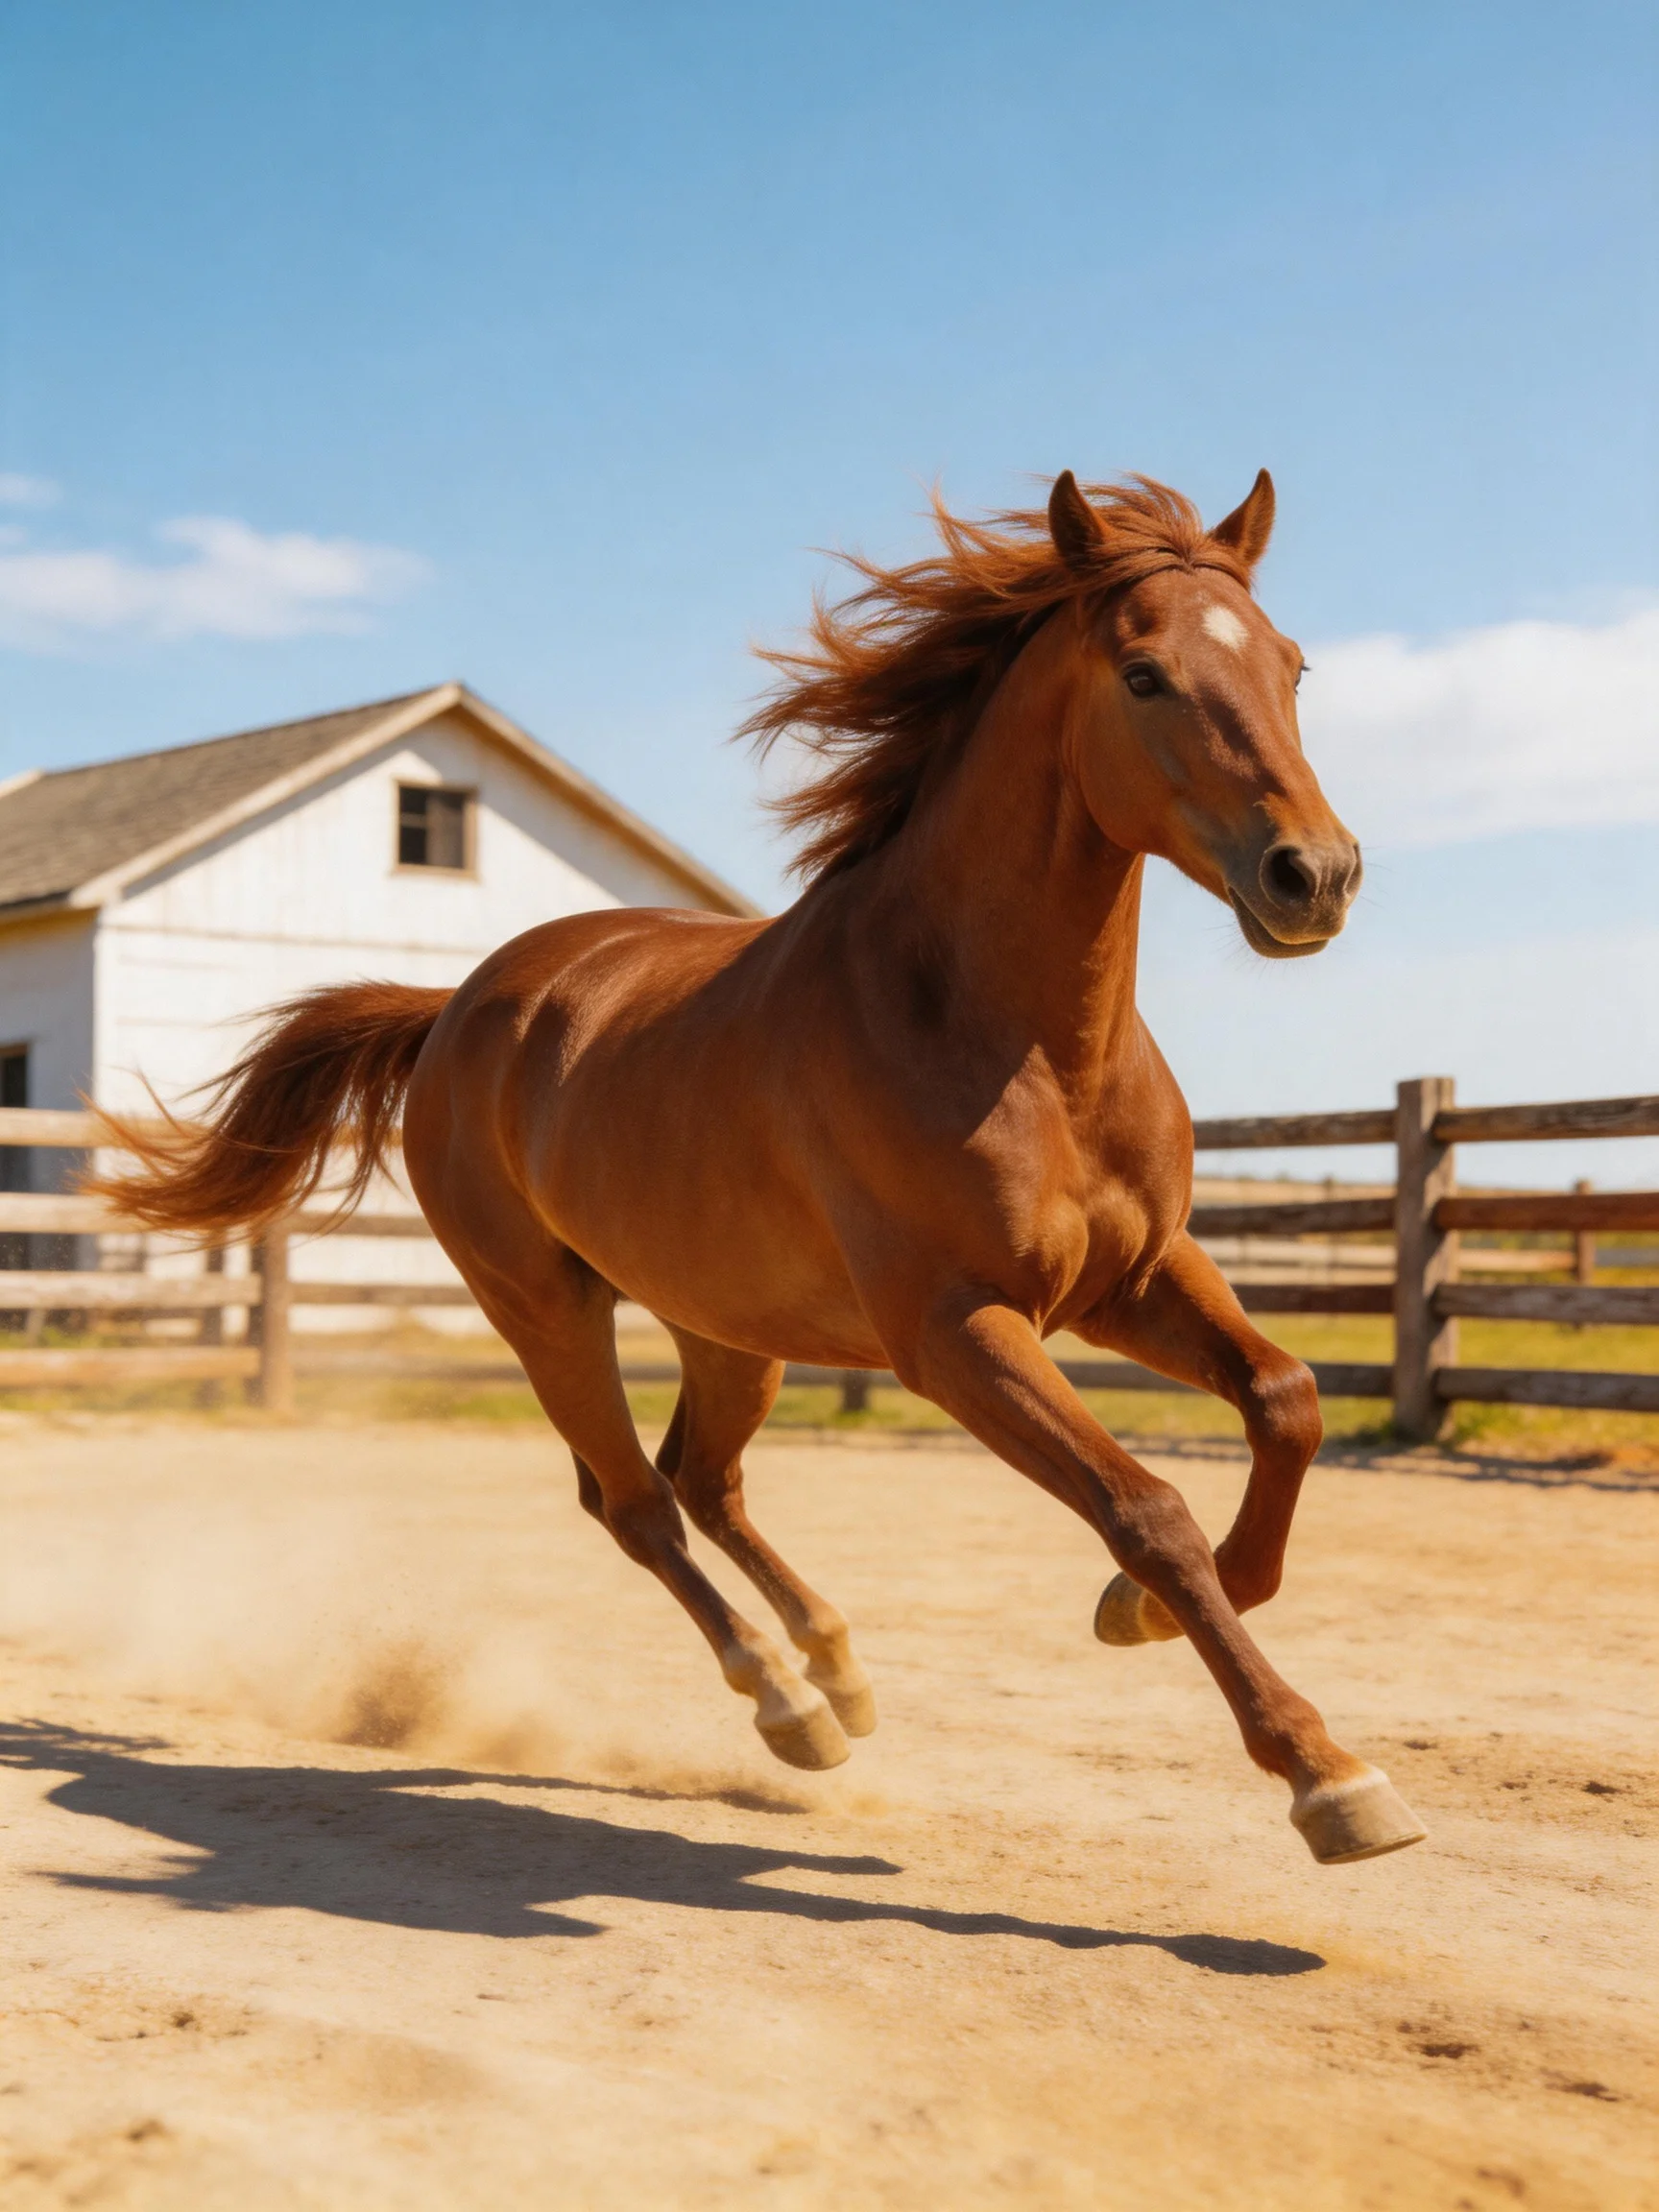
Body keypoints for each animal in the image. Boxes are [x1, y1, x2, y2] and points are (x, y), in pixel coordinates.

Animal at [91, 468, 1426, 1866]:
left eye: (1292, 663)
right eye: (1145, 672)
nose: (1314, 875)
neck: (1014, 1041)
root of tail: (454, 1007)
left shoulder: (1136, 1277)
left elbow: (1284, 1400)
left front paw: (1143, 1612)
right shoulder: (958, 1333)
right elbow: (1148, 1508)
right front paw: (1328, 1778)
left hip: (730, 1323)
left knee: (704, 1479)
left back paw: (835, 1667)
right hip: (546, 1310)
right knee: (635, 1504)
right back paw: (790, 1708)